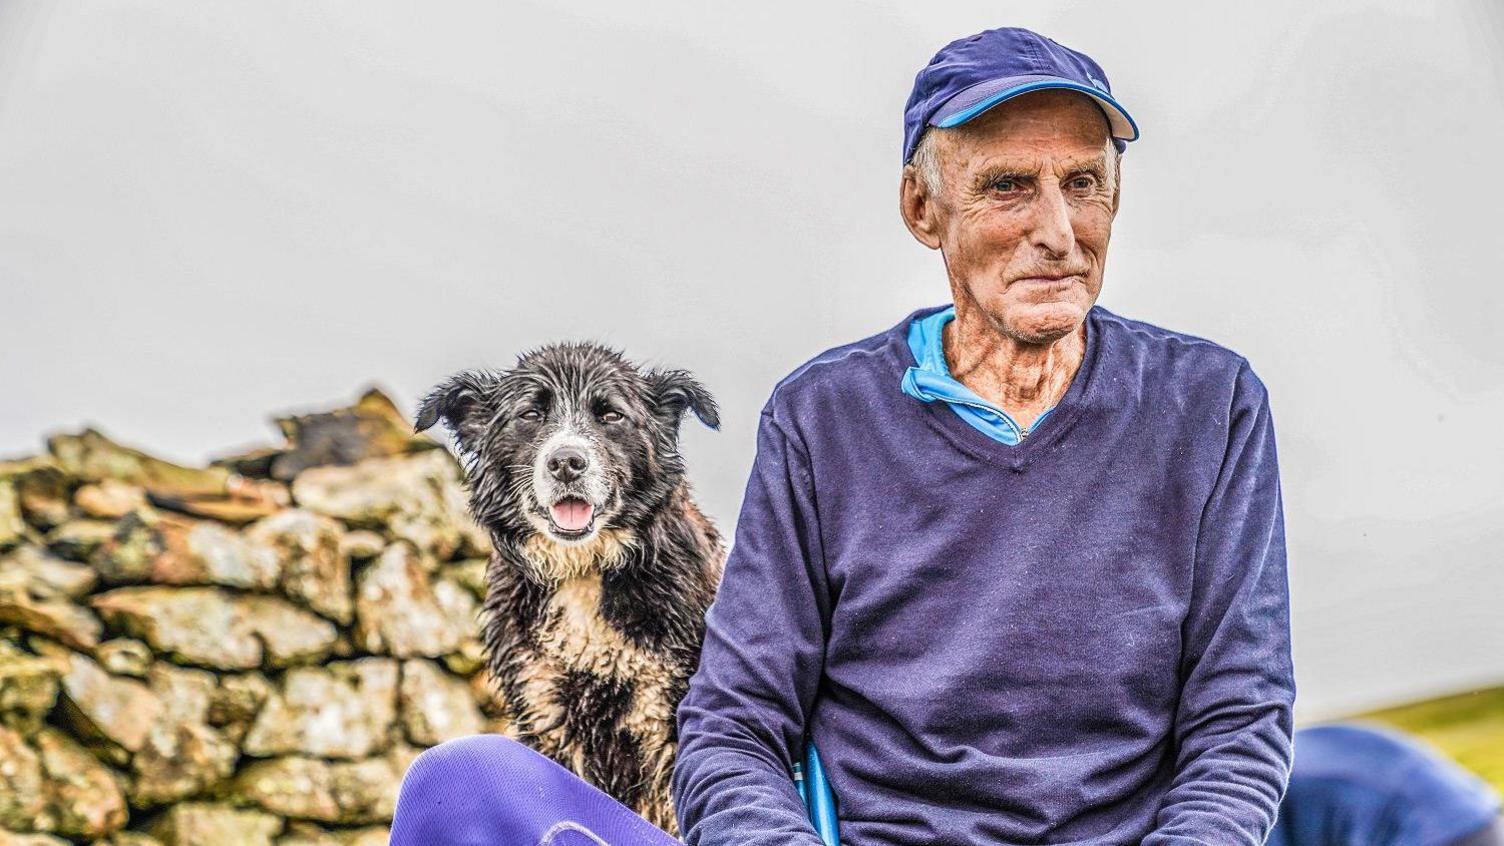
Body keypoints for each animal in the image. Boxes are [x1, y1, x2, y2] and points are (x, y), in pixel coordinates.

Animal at [418, 340, 727, 830]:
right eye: (530, 414)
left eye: (611, 415)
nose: (566, 462)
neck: (586, 570)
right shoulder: (548, 711)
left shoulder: (665, 715)